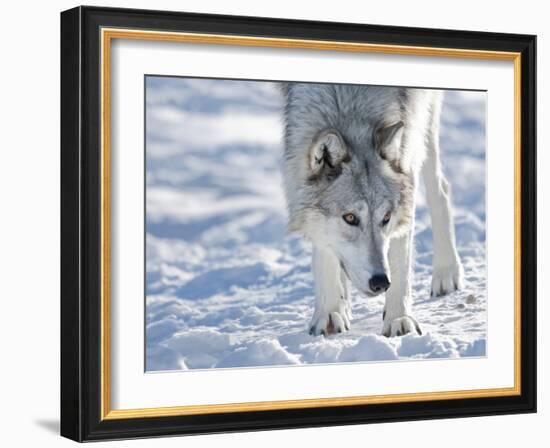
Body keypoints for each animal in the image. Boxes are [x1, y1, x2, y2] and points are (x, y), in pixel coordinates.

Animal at [280, 83, 466, 336]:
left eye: (386, 217)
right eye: (350, 218)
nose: (380, 282)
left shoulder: (409, 141)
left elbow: (400, 257)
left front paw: (399, 319)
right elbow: (324, 248)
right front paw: (330, 313)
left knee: (441, 190)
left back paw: (446, 272)